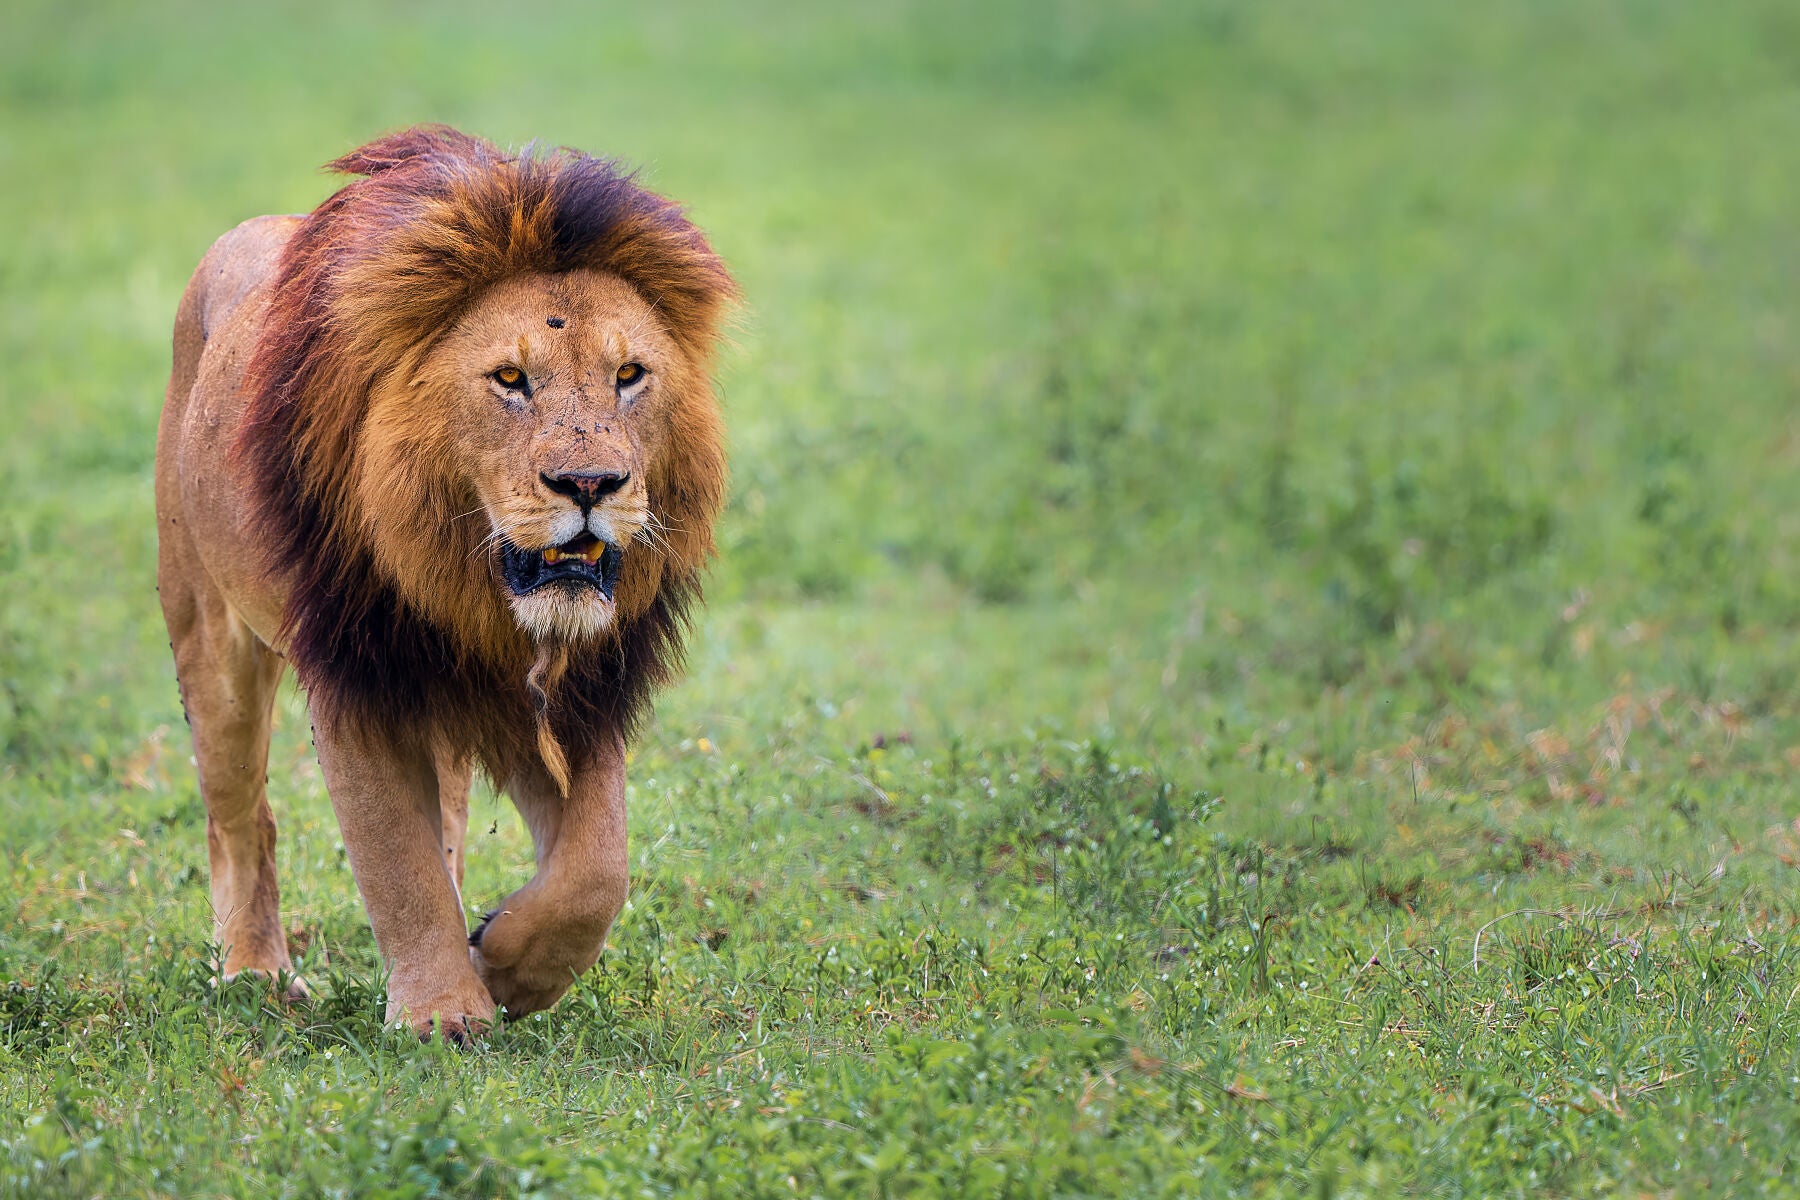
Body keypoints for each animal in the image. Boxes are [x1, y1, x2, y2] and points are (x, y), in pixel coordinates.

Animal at [158, 124, 734, 1043]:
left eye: (630, 375)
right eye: (510, 379)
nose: (589, 484)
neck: (481, 601)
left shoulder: (577, 691)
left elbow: (596, 870)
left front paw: (504, 964)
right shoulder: (359, 682)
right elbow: (398, 858)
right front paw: (440, 1014)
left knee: (451, 824)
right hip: (211, 640)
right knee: (240, 816)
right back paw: (254, 972)